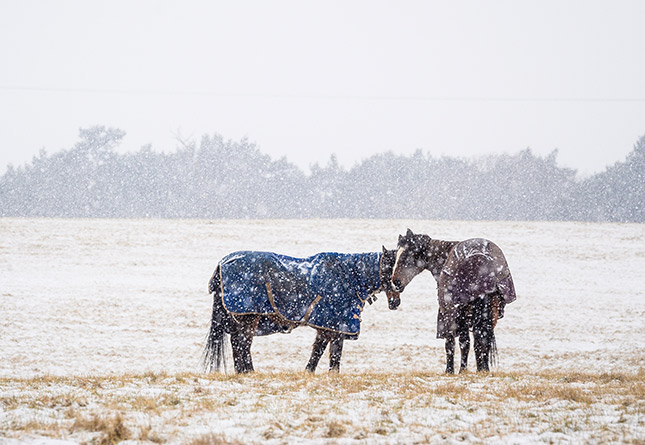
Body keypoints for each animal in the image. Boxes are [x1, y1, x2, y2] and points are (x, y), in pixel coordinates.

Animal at [203, 246, 400, 374]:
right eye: (389, 266)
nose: (396, 300)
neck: (349, 277)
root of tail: (222, 263)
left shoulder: (327, 327)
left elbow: (319, 350)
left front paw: (309, 372)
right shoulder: (337, 325)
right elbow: (334, 352)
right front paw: (332, 374)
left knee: (239, 343)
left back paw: (243, 372)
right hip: (249, 318)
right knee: (241, 343)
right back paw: (248, 372)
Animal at [391, 229, 516, 373]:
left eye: (406, 255)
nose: (395, 282)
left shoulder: (450, 313)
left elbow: (453, 342)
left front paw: (452, 370)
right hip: (492, 312)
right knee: (484, 340)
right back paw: (483, 369)